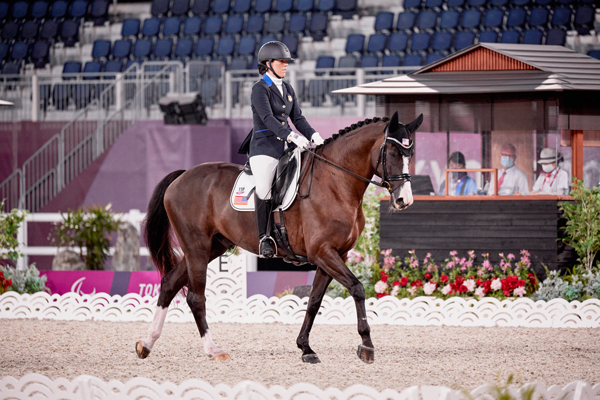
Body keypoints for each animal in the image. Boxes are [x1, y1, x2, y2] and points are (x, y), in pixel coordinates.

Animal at [138, 111, 424, 364]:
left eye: (411, 154)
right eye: (394, 152)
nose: (404, 200)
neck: (336, 182)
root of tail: (182, 176)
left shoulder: (333, 255)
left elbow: (314, 301)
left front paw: (305, 348)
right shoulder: (323, 252)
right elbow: (357, 288)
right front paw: (366, 346)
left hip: (212, 247)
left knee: (169, 283)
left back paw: (147, 343)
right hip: (197, 246)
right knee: (196, 297)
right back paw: (213, 350)